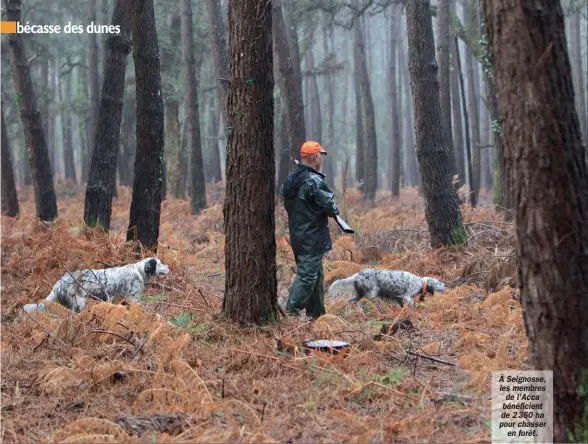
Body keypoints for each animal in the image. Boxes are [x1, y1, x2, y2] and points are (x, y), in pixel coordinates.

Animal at [23, 256, 170, 316]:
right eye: (160, 263)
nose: (169, 267)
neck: (139, 271)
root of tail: (61, 280)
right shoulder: (134, 299)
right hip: (79, 303)